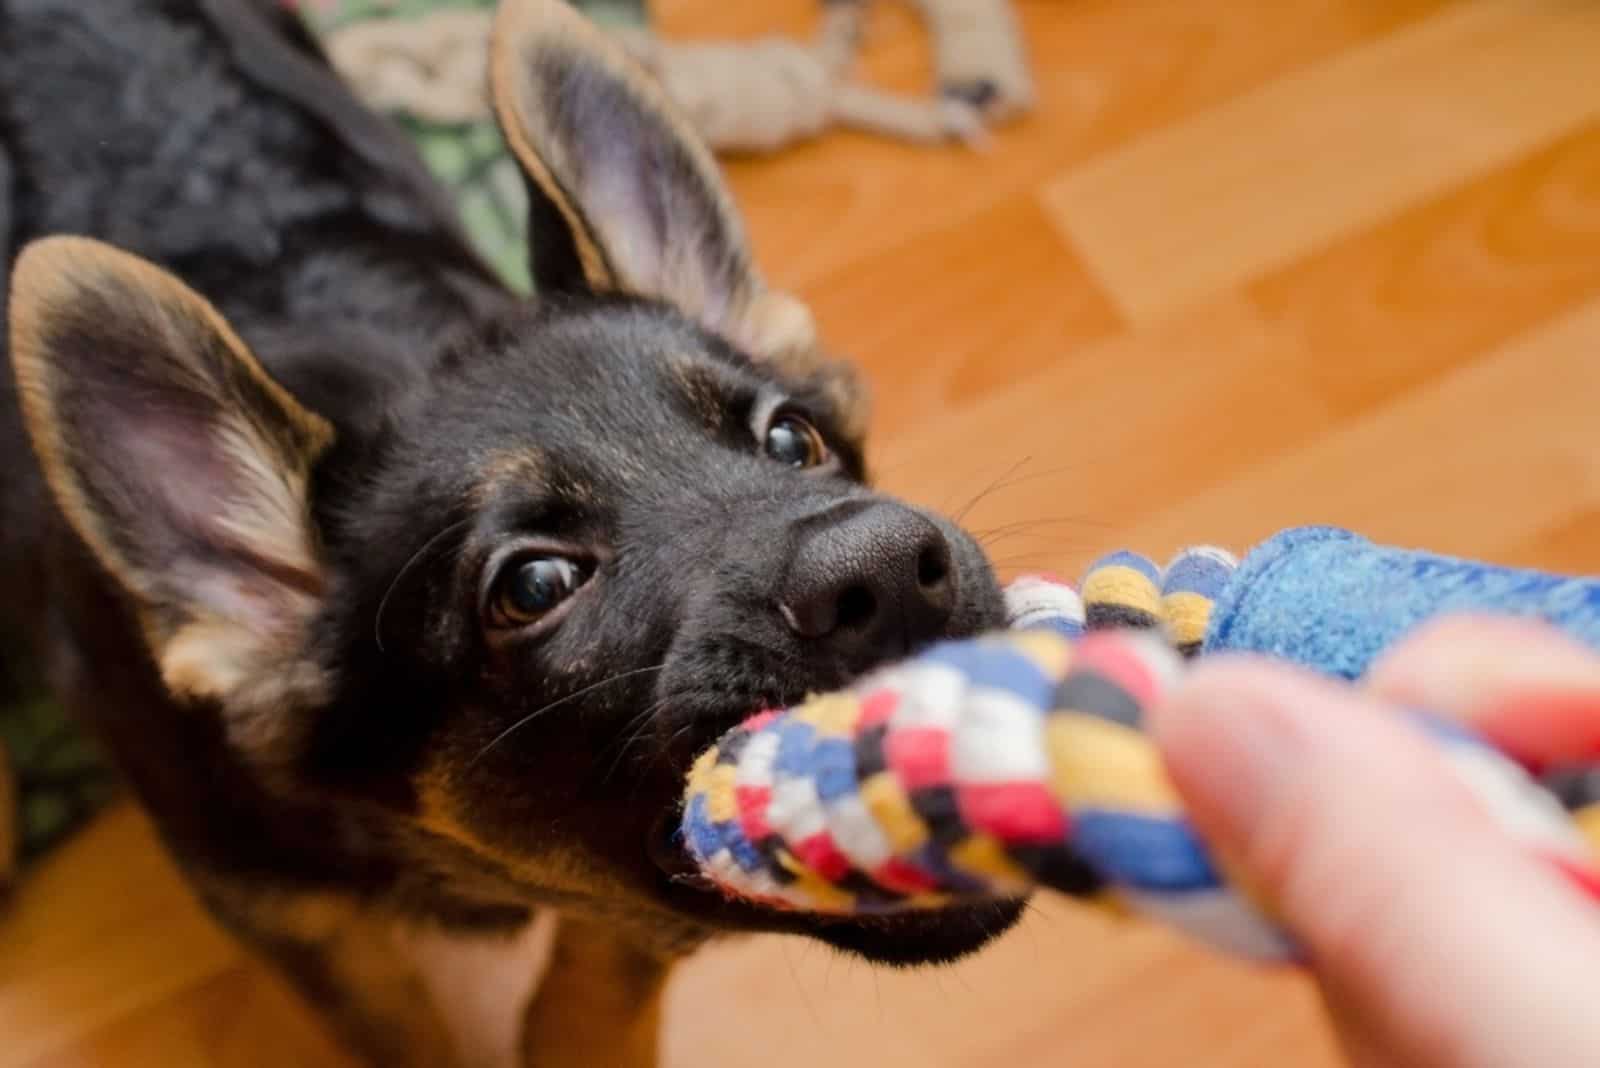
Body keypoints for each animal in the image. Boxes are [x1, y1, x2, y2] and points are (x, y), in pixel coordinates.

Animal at [0, 2, 1024, 1068]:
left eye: (792, 439)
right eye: (534, 588)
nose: (894, 574)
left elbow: (601, 985)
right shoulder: (297, 919)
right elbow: (404, 1030)